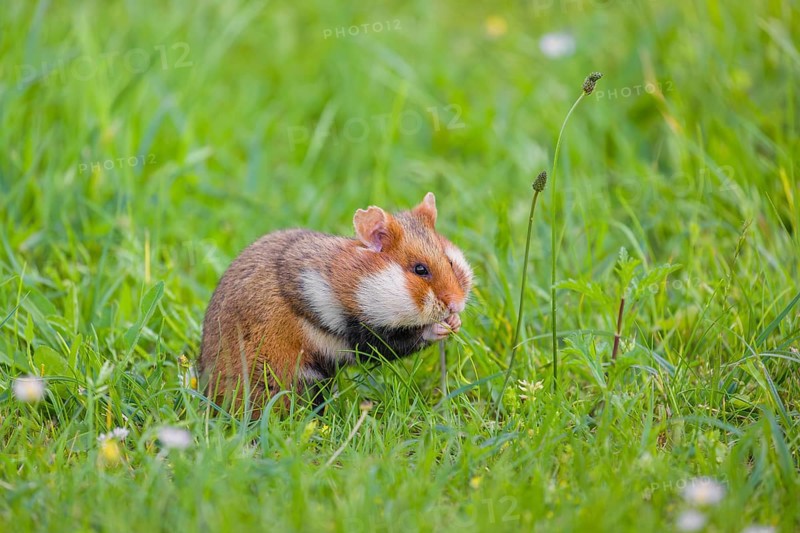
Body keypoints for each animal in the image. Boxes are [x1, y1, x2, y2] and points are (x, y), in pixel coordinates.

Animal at [198, 193, 473, 412]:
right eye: (420, 270)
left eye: (450, 262)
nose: (456, 305)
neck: (354, 283)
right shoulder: (350, 331)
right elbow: (396, 342)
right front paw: (442, 327)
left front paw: (456, 322)